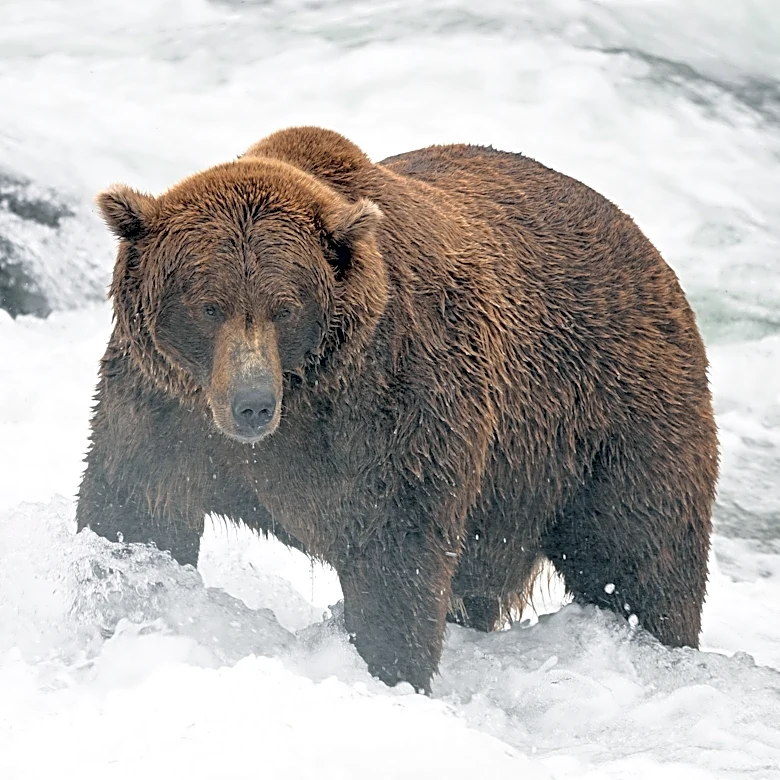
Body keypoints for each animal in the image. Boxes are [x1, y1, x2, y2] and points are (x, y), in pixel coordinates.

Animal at [77, 126, 719, 693]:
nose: (251, 405)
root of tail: (649, 251)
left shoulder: (394, 408)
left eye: (285, 307)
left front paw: (388, 670)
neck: (307, 398)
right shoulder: (162, 407)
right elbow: (136, 509)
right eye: (208, 305)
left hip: (610, 423)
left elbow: (395, 556)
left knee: (642, 558)